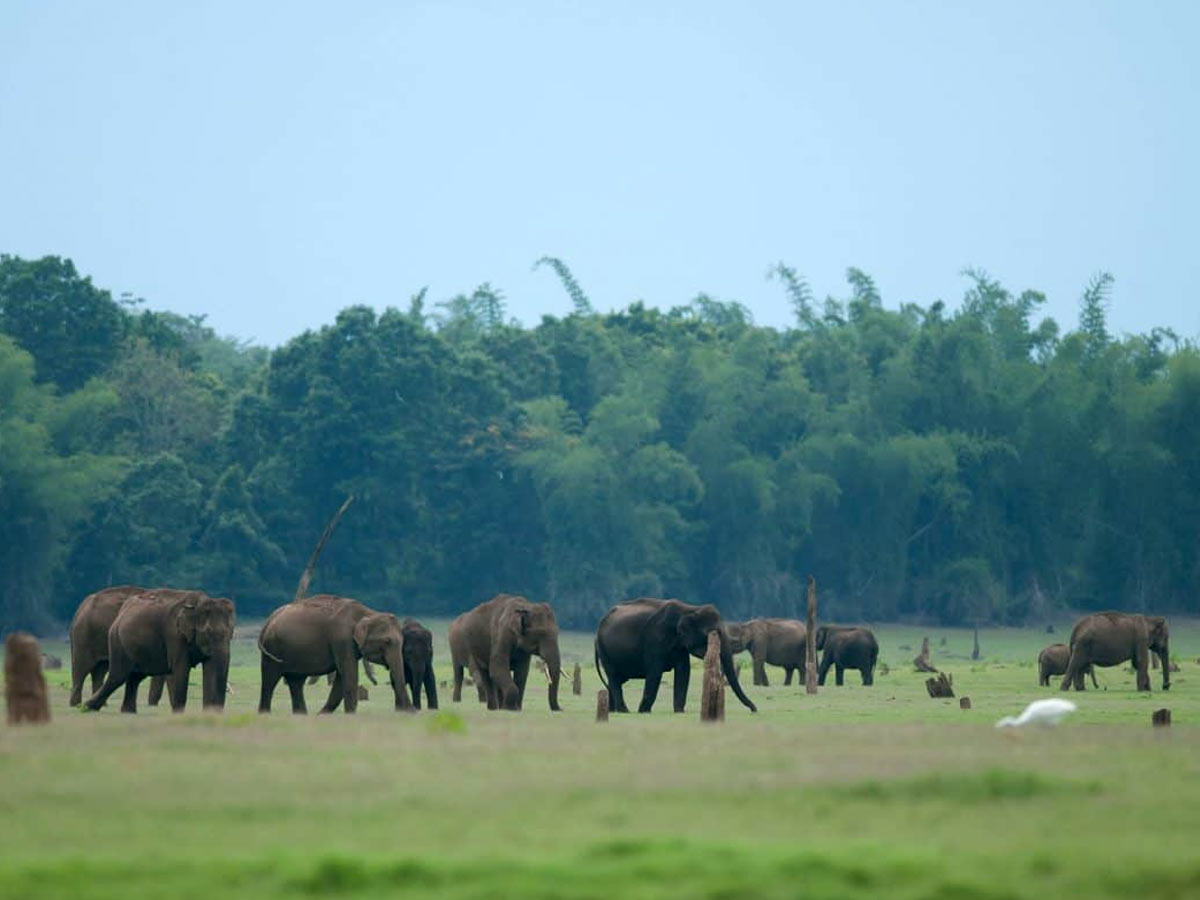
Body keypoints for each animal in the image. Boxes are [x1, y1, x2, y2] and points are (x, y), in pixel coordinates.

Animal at [82, 588, 234, 715]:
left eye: (231, 633)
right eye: (208, 632)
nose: (218, 712)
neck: (198, 604)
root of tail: (121, 613)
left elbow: (211, 667)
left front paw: (210, 715)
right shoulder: (174, 636)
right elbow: (181, 669)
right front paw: (179, 714)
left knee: (134, 677)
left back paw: (127, 712)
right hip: (116, 640)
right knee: (118, 675)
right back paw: (87, 707)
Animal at [254, 595, 412, 715]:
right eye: (387, 641)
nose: (412, 712)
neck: (367, 612)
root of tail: (269, 620)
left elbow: (341, 677)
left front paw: (322, 715)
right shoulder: (341, 639)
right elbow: (349, 673)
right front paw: (350, 715)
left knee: (296, 681)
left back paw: (301, 715)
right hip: (272, 648)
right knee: (270, 680)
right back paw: (265, 714)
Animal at [592, 602, 753, 715]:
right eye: (714, 633)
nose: (754, 710)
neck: (689, 608)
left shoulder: (680, 646)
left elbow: (684, 671)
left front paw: (679, 712)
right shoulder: (655, 640)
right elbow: (655, 673)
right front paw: (643, 712)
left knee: (615, 680)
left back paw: (613, 711)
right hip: (605, 651)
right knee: (614, 678)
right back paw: (624, 711)